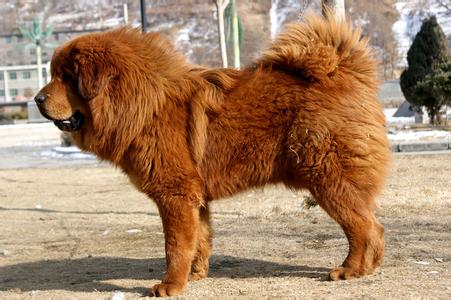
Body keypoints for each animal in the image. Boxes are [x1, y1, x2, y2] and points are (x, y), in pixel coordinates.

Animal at [35, 13, 390, 296]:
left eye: (66, 77)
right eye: (53, 75)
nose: (37, 99)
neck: (144, 102)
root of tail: (345, 73)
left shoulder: (175, 195)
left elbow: (174, 246)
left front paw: (170, 286)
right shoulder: (195, 198)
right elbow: (198, 242)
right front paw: (195, 276)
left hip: (328, 181)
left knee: (365, 228)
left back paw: (351, 270)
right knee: (370, 227)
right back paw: (366, 268)